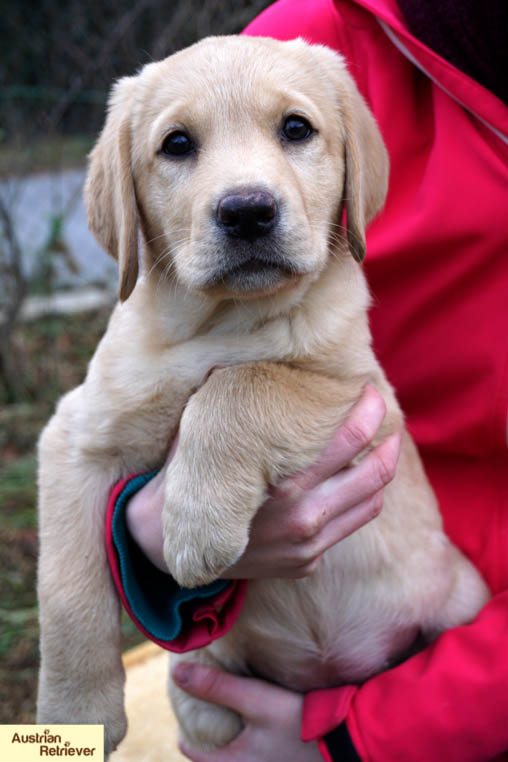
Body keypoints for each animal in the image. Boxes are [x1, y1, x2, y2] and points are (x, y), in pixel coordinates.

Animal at [35, 35, 488, 756]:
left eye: (296, 129)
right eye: (177, 144)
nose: (247, 210)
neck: (221, 321)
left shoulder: (366, 396)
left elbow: (246, 382)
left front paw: (196, 522)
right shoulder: (76, 433)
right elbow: (66, 591)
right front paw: (75, 716)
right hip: (198, 690)